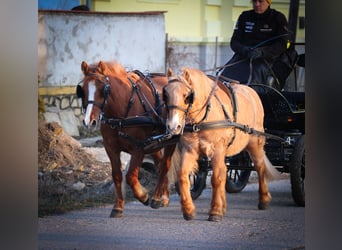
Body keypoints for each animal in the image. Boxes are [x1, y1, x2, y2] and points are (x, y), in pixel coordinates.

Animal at [77, 60, 176, 217]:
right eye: (83, 90)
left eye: (104, 89)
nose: (88, 122)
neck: (121, 113)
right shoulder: (111, 148)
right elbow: (117, 175)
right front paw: (118, 207)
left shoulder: (139, 147)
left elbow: (130, 176)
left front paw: (143, 195)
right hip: (155, 144)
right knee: (160, 165)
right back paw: (163, 197)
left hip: (171, 140)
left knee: (165, 165)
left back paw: (156, 198)